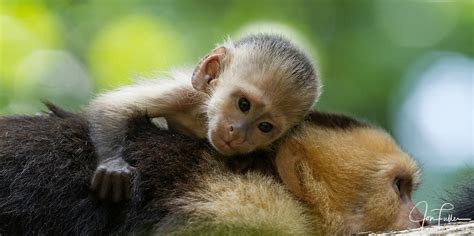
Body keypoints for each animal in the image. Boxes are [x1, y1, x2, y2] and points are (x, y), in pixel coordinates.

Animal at [87, 34, 320, 202]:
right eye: (243, 104)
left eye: (265, 127)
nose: (238, 133)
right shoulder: (181, 94)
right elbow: (113, 106)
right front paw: (114, 165)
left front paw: (250, 158)